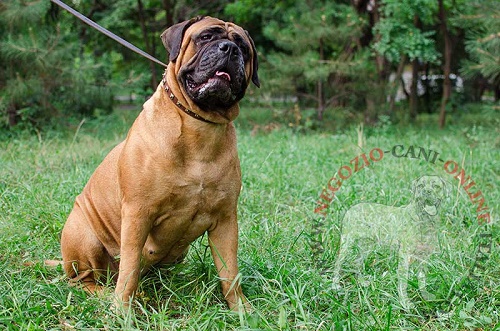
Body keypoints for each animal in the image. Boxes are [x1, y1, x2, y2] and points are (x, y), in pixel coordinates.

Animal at [60, 16, 260, 312]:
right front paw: (121, 310)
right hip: (83, 236)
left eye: (243, 48)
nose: (229, 49)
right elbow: (129, 269)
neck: (200, 126)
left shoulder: (225, 220)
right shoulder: (137, 214)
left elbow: (229, 272)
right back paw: (106, 294)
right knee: (85, 280)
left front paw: (242, 309)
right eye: (206, 37)